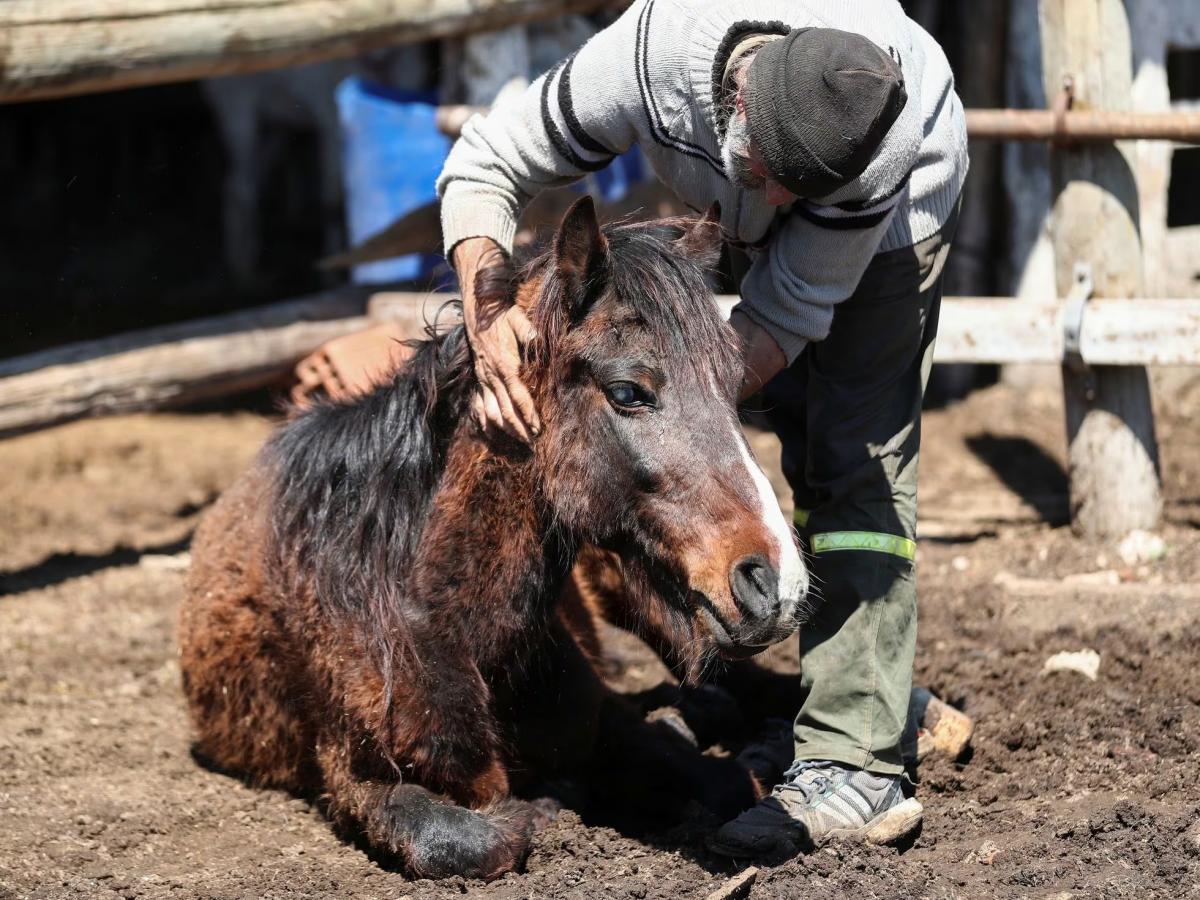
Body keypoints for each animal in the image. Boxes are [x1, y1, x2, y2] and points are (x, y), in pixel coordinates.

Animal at [177, 196, 811, 883]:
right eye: (627, 391)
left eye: (734, 384)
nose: (775, 582)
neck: (443, 627)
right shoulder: (357, 778)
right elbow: (478, 838)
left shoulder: (606, 722)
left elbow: (726, 783)